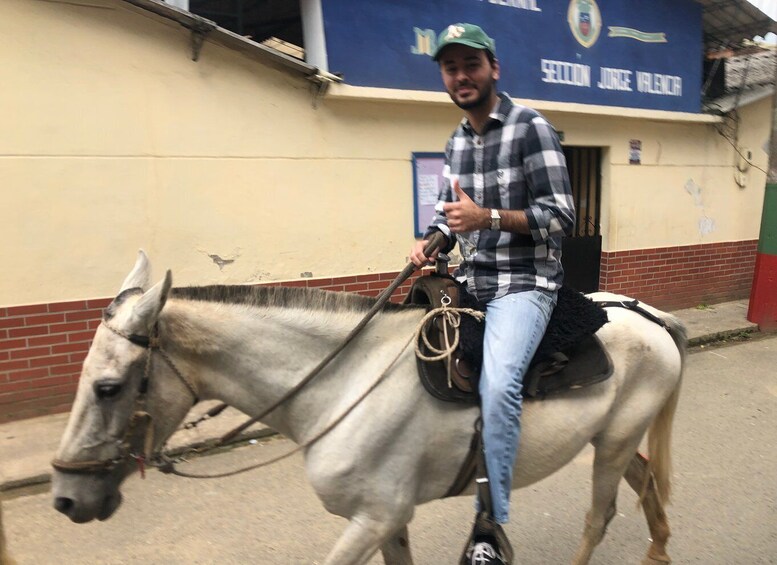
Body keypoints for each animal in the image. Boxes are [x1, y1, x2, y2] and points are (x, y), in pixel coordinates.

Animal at [51, 252, 684, 564]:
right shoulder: (388, 520)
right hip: (613, 439)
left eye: (108, 387)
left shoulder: (373, 518)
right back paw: (658, 549)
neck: (341, 383)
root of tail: (651, 316)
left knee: (600, 515)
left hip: (614, 441)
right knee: (645, 479)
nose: (65, 499)